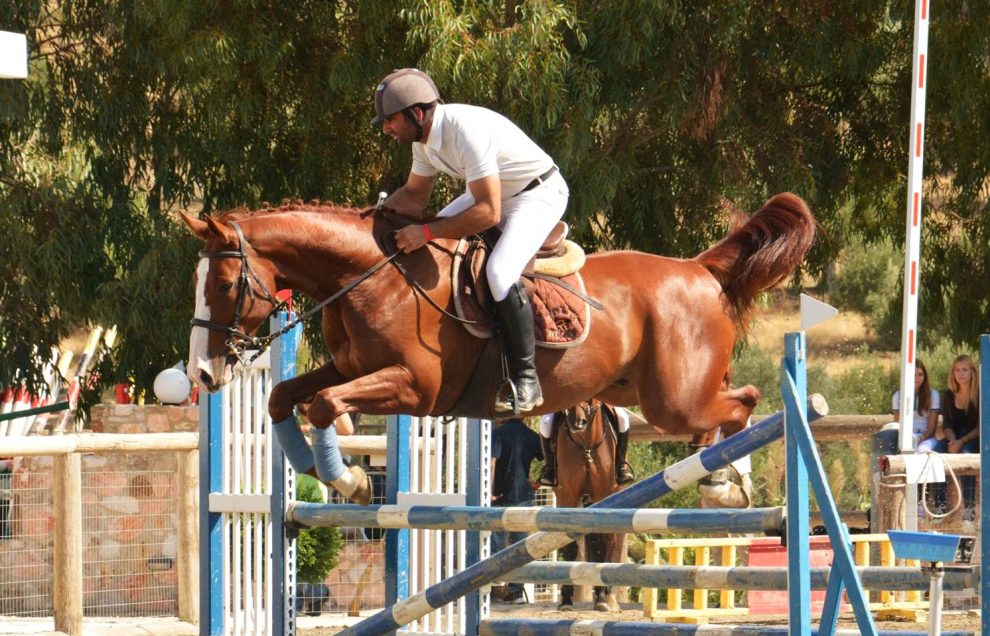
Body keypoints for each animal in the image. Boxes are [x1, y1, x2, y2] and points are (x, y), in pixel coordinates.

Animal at [182, 190, 816, 438]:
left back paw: (725, 478)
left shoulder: (417, 387)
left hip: (674, 399)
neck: (374, 276)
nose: (203, 375)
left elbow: (323, 404)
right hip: (637, 389)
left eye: (226, 283)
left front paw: (351, 472)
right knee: (731, 400)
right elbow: (286, 397)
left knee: (744, 402)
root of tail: (700, 268)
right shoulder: (351, 367)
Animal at [556, 400, 624, 612]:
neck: (586, 444)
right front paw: (566, 600)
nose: (577, 422)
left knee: (612, 542)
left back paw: (609, 597)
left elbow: (604, 542)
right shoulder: (567, 497)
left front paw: (602, 598)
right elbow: (570, 547)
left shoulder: (605, 496)